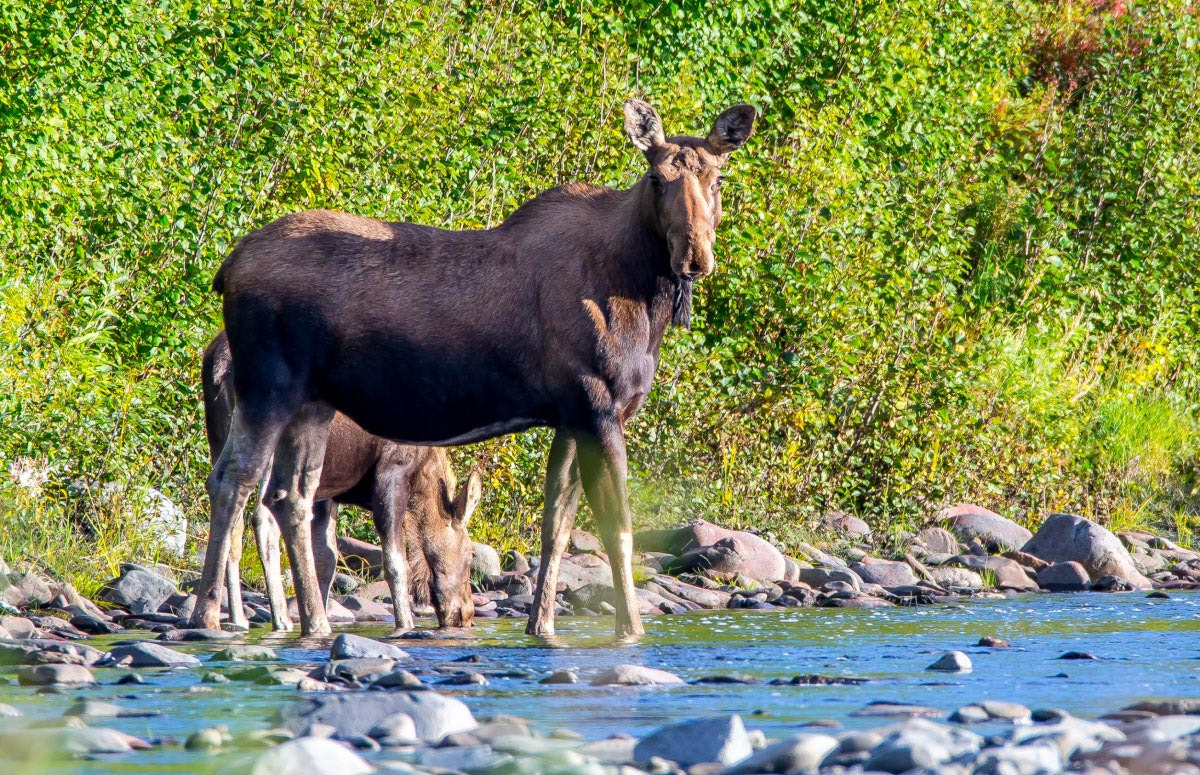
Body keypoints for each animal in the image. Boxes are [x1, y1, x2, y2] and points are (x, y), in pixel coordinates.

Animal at [203, 331, 479, 633]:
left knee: (230, 509)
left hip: (219, 436)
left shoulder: (328, 493)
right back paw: (280, 618)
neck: (423, 472)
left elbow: (326, 557)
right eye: (470, 555)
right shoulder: (391, 472)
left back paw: (235, 617)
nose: (466, 613)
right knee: (262, 519)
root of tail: (220, 362)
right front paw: (405, 624)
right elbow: (395, 560)